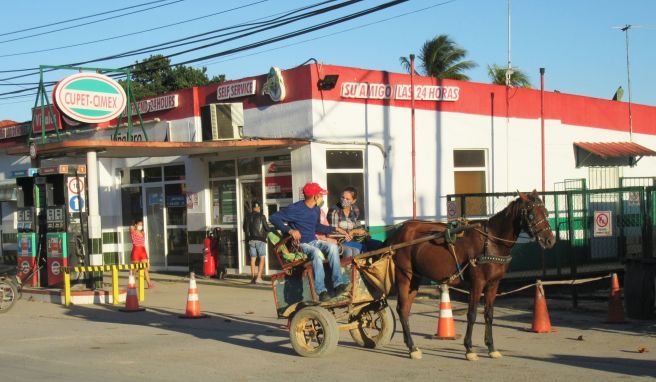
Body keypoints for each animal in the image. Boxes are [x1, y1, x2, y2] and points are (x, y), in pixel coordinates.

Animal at [386, 191, 556, 362]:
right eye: (531, 215)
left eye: (546, 212)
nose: (550, 240)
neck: (491, 241)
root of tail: (400, 232)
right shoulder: (477, 283)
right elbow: (472, 314)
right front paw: (469, 349)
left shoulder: (493, 284)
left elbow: (489, 314)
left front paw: (491, 347)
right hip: (404, 276)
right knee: (402, 309)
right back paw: (411, 347)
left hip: (415, 278)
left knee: (406, 309)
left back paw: (411, 345)